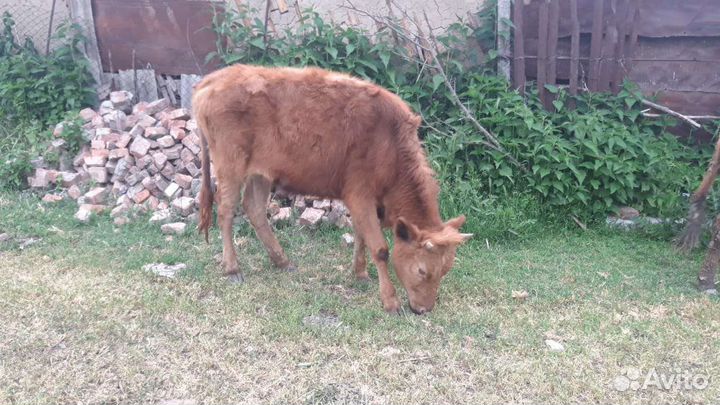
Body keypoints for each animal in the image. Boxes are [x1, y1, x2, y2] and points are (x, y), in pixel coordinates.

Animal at [192, 64, 472, 314]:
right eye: (422, 270)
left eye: (445, 270)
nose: (424, 309)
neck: (390, 145)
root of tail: (214, 79)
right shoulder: (359, 194)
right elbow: (380, 249)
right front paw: (390, 301)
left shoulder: (365, 201)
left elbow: (361, 236)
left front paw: (360, 273)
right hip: (230, 165)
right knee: (226, 211)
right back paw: (233, 268)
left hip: (261, 172)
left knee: (255, 209)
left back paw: (281, 260)